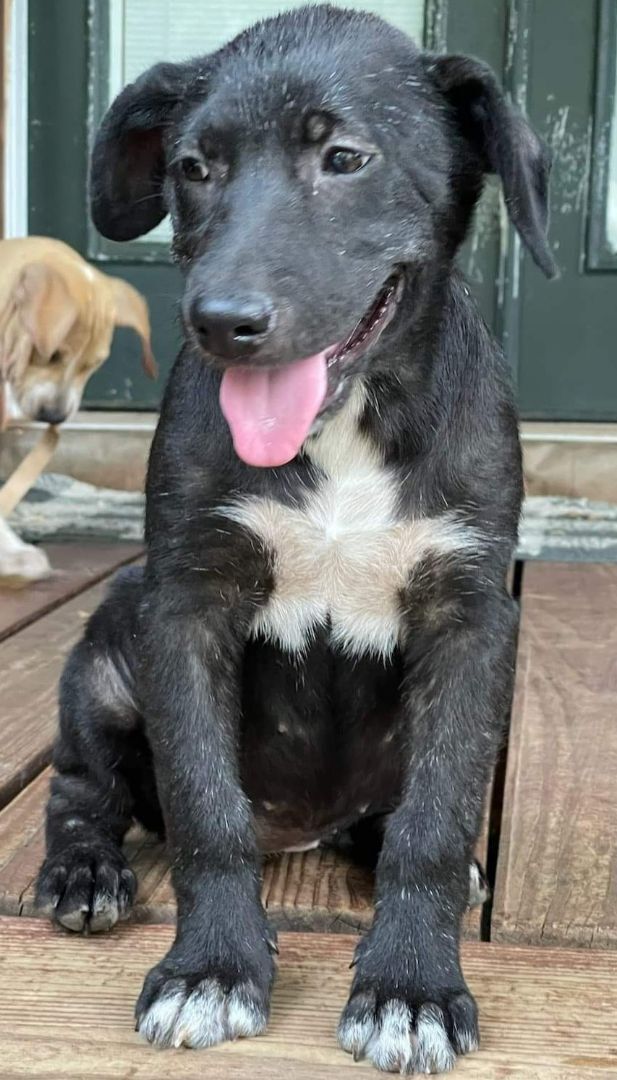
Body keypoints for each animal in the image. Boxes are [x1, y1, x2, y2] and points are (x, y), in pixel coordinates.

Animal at [35, 6, 553, 1071]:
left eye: (345, 158)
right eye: (193, 168)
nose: (219, 321)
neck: (349, 423)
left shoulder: (471, 618)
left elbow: (435, 824)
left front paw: (411, 988)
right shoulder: (186, 603)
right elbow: (204, 809)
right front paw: (210, 970)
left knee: (397, 815)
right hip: (108, 651)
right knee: (79, 786)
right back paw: (85, 871)